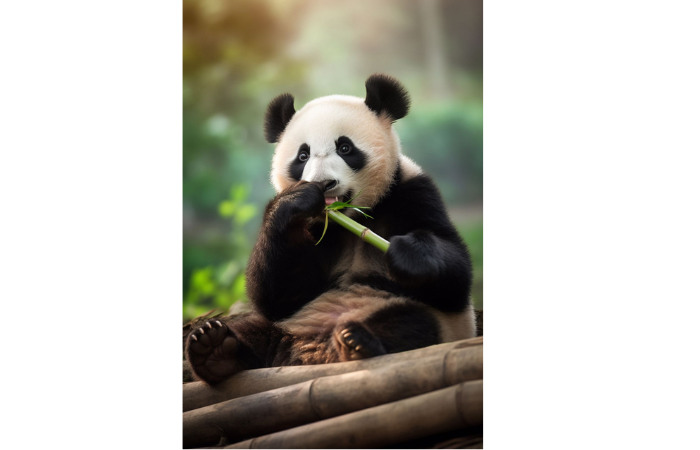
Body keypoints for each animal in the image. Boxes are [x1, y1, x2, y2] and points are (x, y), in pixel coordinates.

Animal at [185, 74, 476, 384]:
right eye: (303, 155)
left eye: (345, 148)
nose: (323, 184)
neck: (351, 219)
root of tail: (309, 350)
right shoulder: (314, 232)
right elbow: (278, 296)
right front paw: (295, 201)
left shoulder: (413, 192)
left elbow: (454, 278)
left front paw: (406, 253)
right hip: (288, 325)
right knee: (253, 328)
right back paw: (213, 349)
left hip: (419, 317)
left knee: (411, 322)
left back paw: (357, 341)